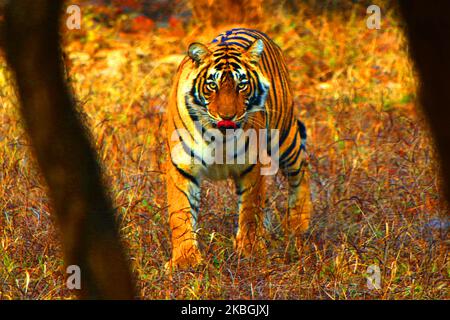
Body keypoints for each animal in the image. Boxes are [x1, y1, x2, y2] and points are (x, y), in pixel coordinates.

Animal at [166, 27, 312, 268]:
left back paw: (298, 225)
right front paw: (185, 259)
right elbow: (180, 213)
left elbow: (250, 210)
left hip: (285, 137)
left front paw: (250, 251)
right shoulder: (182, 166)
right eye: (212, 85)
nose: (227, 116)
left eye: (241, 84)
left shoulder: (252, 165)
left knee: (302, 170)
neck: (217, 136)